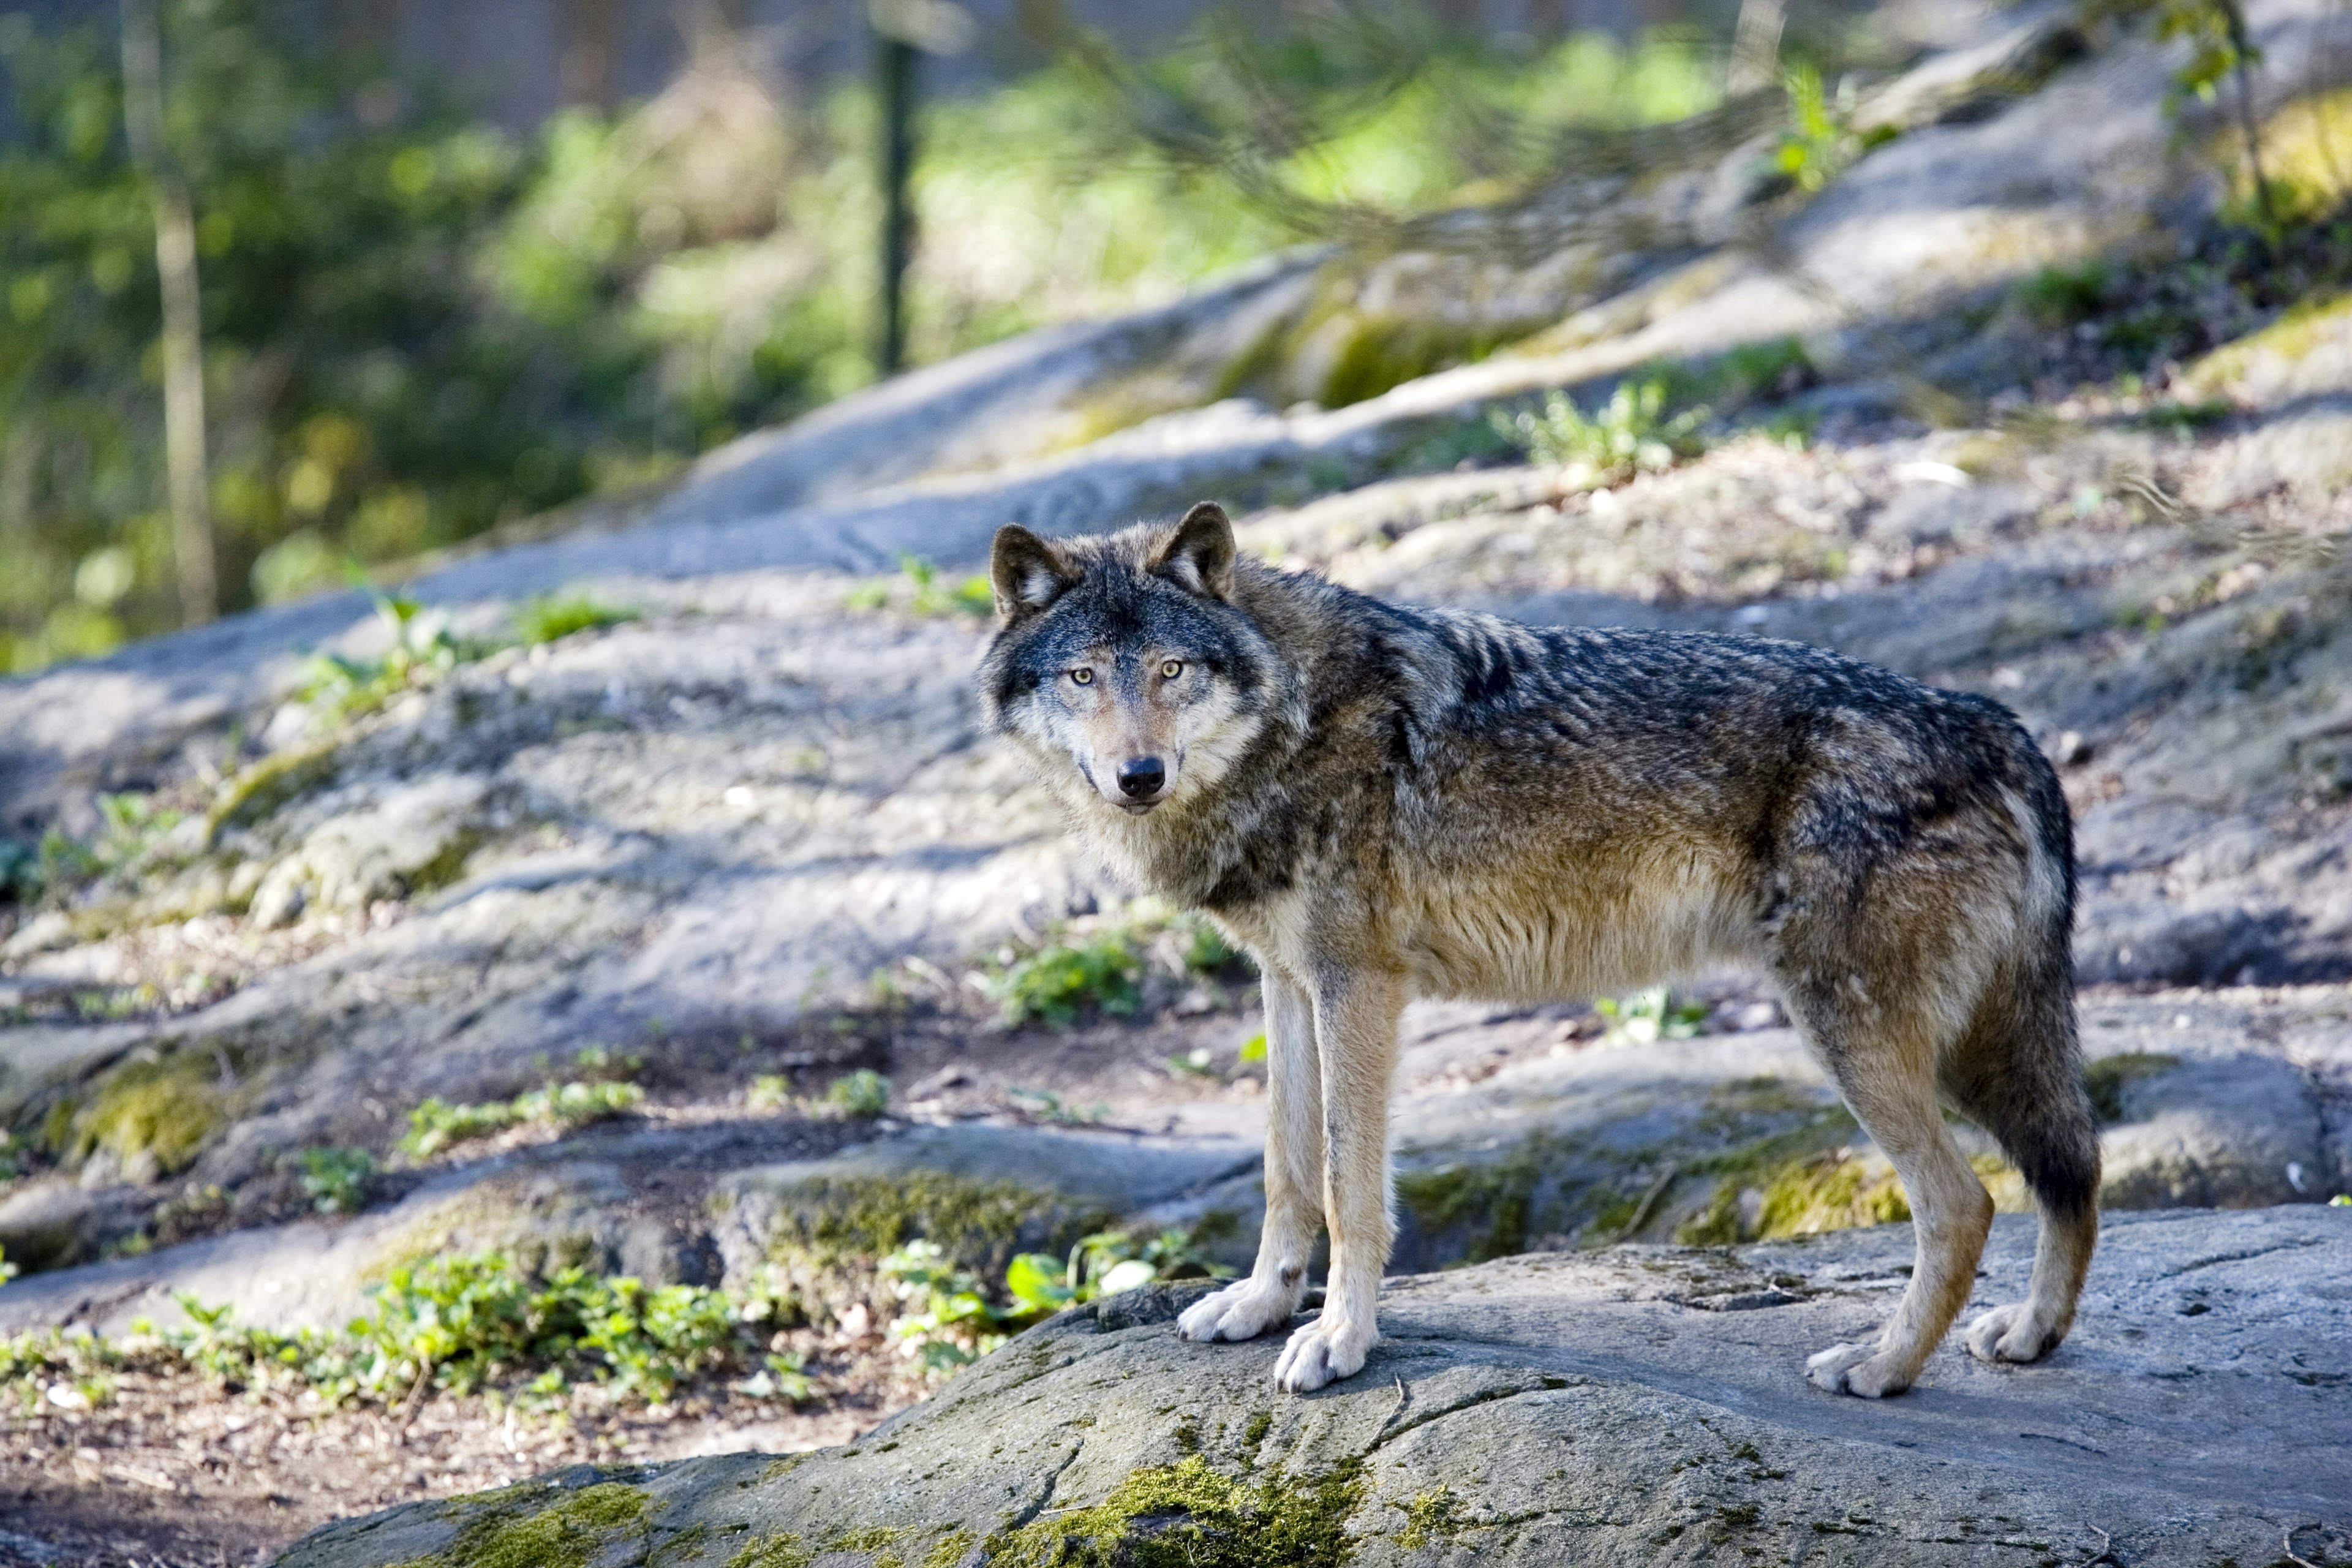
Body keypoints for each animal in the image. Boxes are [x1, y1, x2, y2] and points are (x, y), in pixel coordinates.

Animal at [973, 503, 2098, 1401]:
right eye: (1082, 676)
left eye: (1170, 671)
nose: (1140, 775)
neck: (1293, 717)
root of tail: (1998, 726)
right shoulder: (1288, 985)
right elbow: (1285, 1173)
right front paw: (1257, 1307)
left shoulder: (1358, 988)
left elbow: (1346, 1188)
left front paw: (1339, 1343)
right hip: (1964, 1047)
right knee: (2071, 1169)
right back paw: (2031, 1335)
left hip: (1857, 1037)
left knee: (1967, 1204)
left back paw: (1881, 1367)